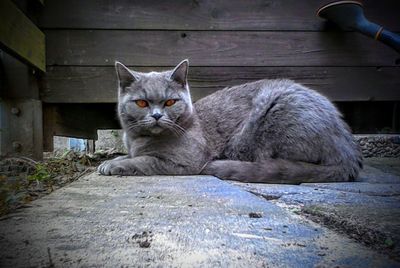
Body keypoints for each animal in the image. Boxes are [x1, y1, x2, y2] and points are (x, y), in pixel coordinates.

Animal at [97, 59, 362, 183]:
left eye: (170, 102)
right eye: (142, 103)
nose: (156, 115)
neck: (137, 140)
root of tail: (348, 150)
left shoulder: (184, 162)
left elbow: (144, 161)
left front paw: (114, 165)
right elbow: (129, 155)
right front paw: (113, 160)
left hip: (275, 111)